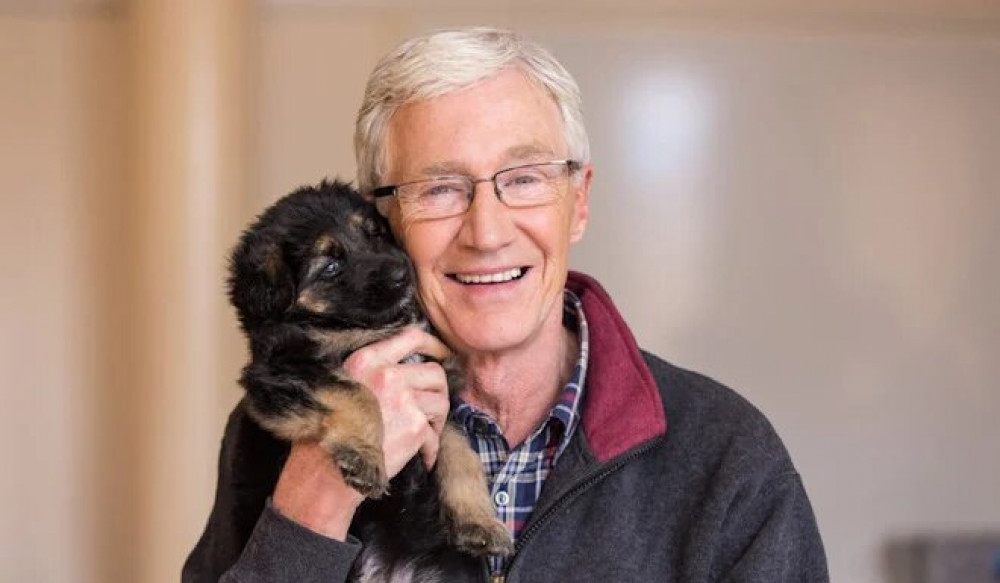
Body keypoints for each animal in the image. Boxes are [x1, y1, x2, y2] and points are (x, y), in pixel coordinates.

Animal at [228, 180, 516, 580]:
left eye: (374, 233)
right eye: (330, 266)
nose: (401, 273)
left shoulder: (437, 393)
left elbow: (462, 451)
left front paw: (480, 524)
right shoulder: (280, 372)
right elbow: (357, 392)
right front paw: (363, 455)